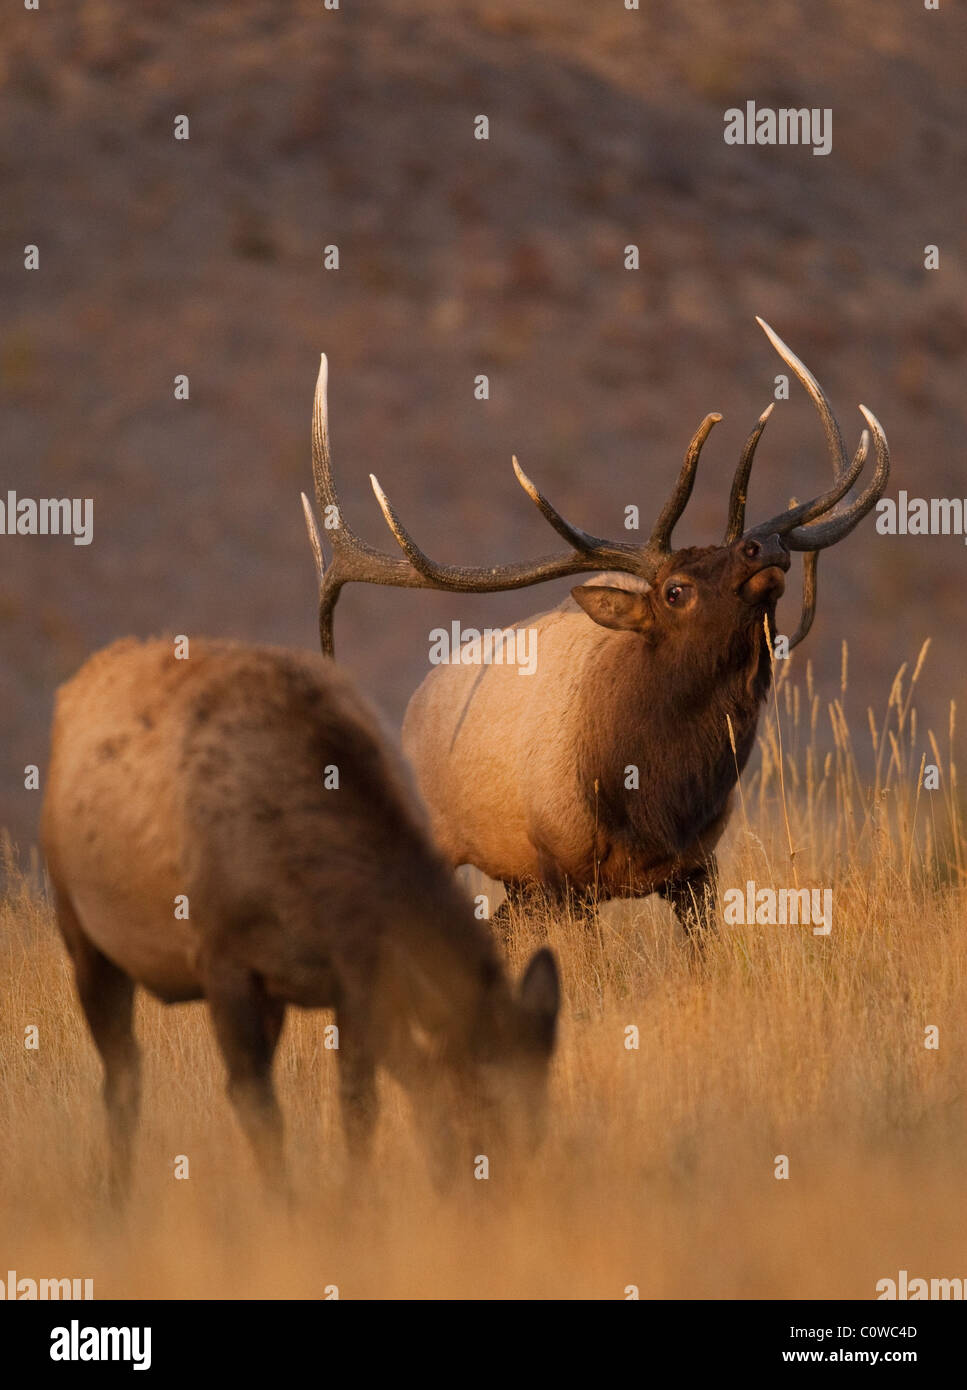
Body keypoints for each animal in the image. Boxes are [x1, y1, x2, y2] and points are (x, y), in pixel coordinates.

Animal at [40, 639, 560, 1195]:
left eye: (539, 1127)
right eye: (477, 1114)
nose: (501, 1202)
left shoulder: (353, 979)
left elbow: (358, 1101)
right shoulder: (221, 957)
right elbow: (256, 1102)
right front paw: (285, 1204)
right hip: (81, 932)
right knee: (122, 1076)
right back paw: (113, 1197)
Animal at [300, 318, 890, 942]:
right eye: (675, 590)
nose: (763, 545)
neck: (657, 797)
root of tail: (413, 703)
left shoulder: (697, 867)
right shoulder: (567, 872)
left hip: (521, 883)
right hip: (453, 845)